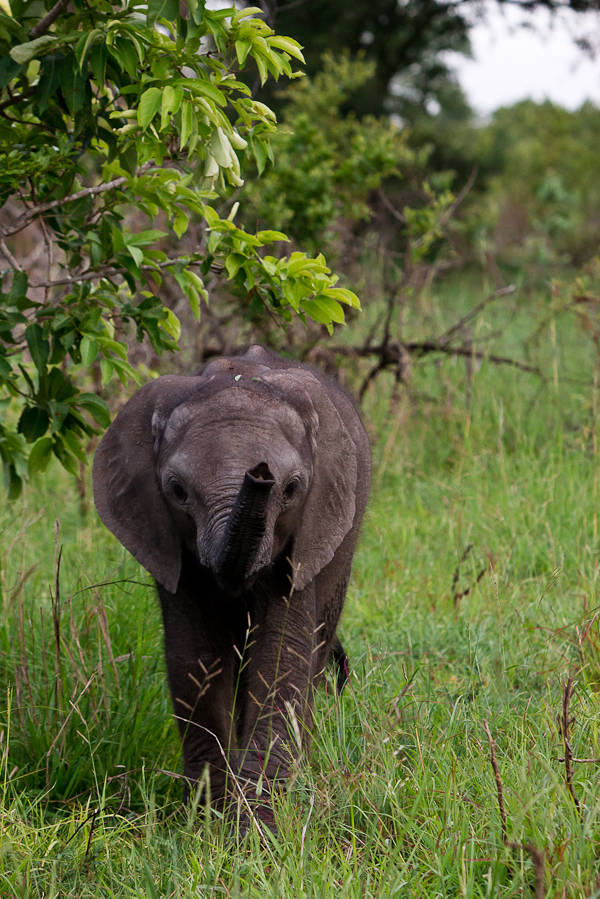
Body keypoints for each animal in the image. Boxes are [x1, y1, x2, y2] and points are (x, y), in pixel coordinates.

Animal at [93, 345, 370, 823]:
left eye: (291, 489)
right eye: (178, 491)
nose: (258, 474)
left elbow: (280, 657)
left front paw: (257, 829)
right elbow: (195, 658)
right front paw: (210, 822)